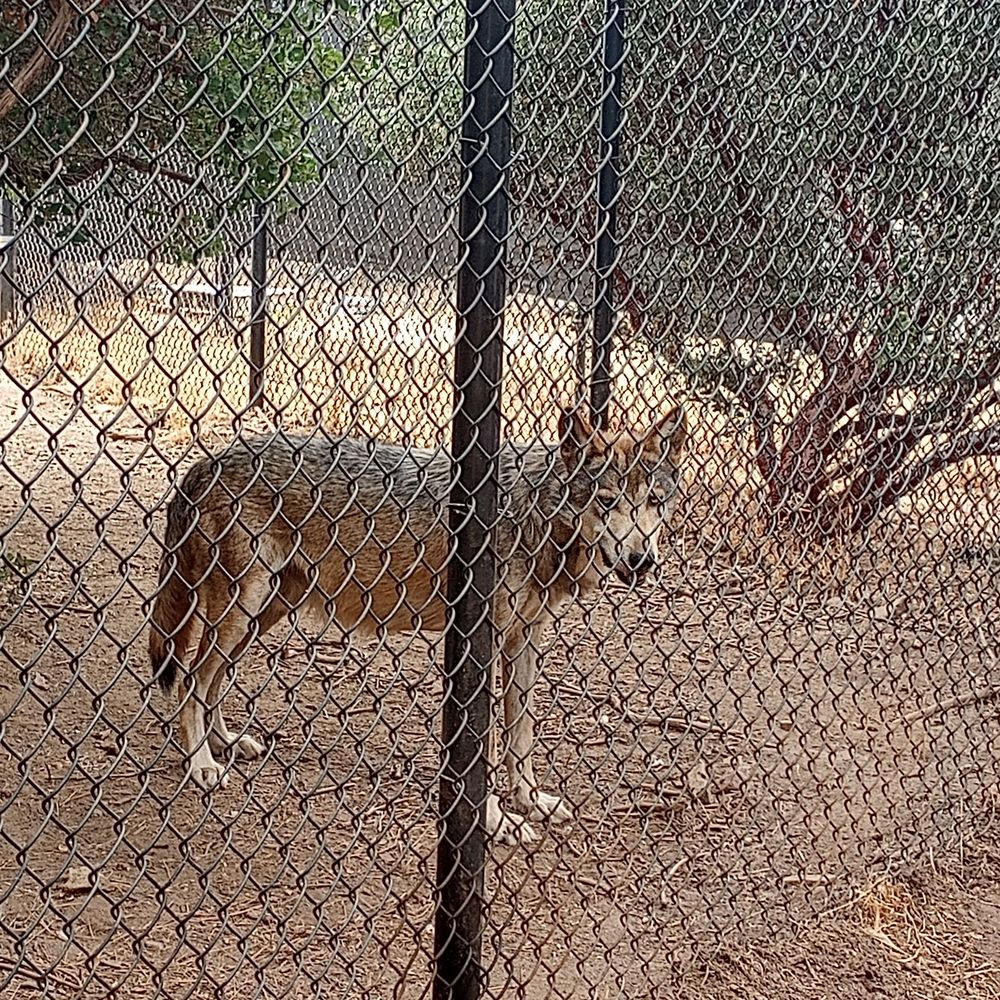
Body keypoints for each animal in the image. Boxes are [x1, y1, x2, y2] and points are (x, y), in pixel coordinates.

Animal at [148, 403, 687, 844]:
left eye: (654, 503)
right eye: (607, 502)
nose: (641, 560)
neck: (532, 515)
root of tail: (208, 461)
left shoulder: (525, 641)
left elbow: (521, 737)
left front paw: (532, 802)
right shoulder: (480, 646)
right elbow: (484, 753)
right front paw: (497, 821)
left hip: (259, 616)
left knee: (212, 681)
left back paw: (226, 743)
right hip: (241, 611)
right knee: (191, 680)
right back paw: (201, 764)